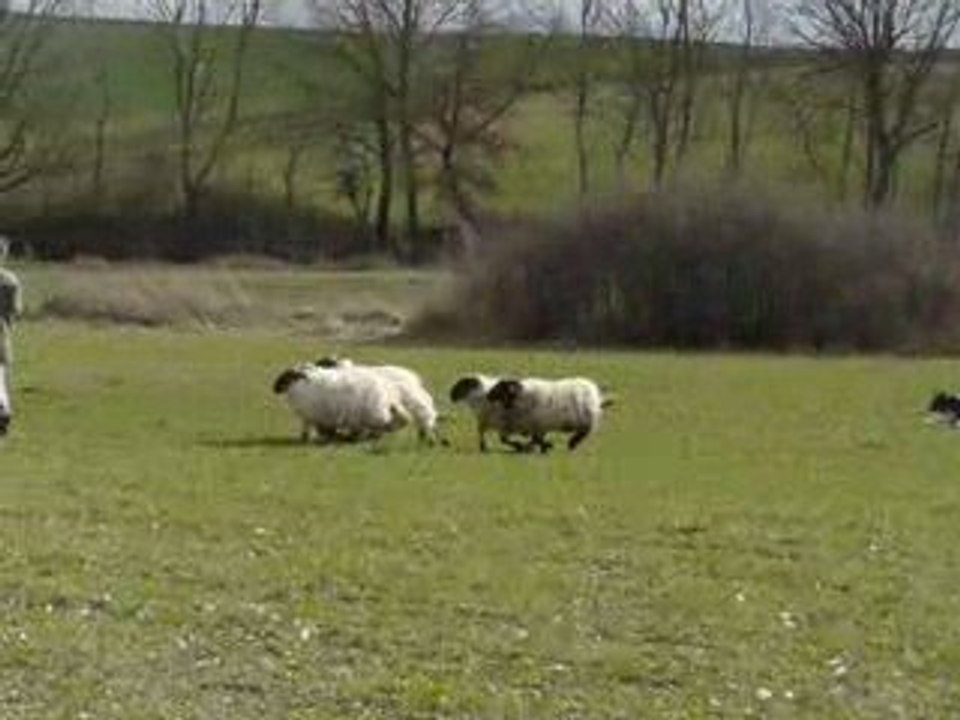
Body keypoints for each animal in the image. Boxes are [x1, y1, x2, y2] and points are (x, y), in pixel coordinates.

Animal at [272, 363, 410, 443]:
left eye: (288, 375)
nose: (274, 388)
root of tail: (388, 395)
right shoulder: (317, 417)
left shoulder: (311, 416)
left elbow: (315, 430)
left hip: (372, 415)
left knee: (382, 427)